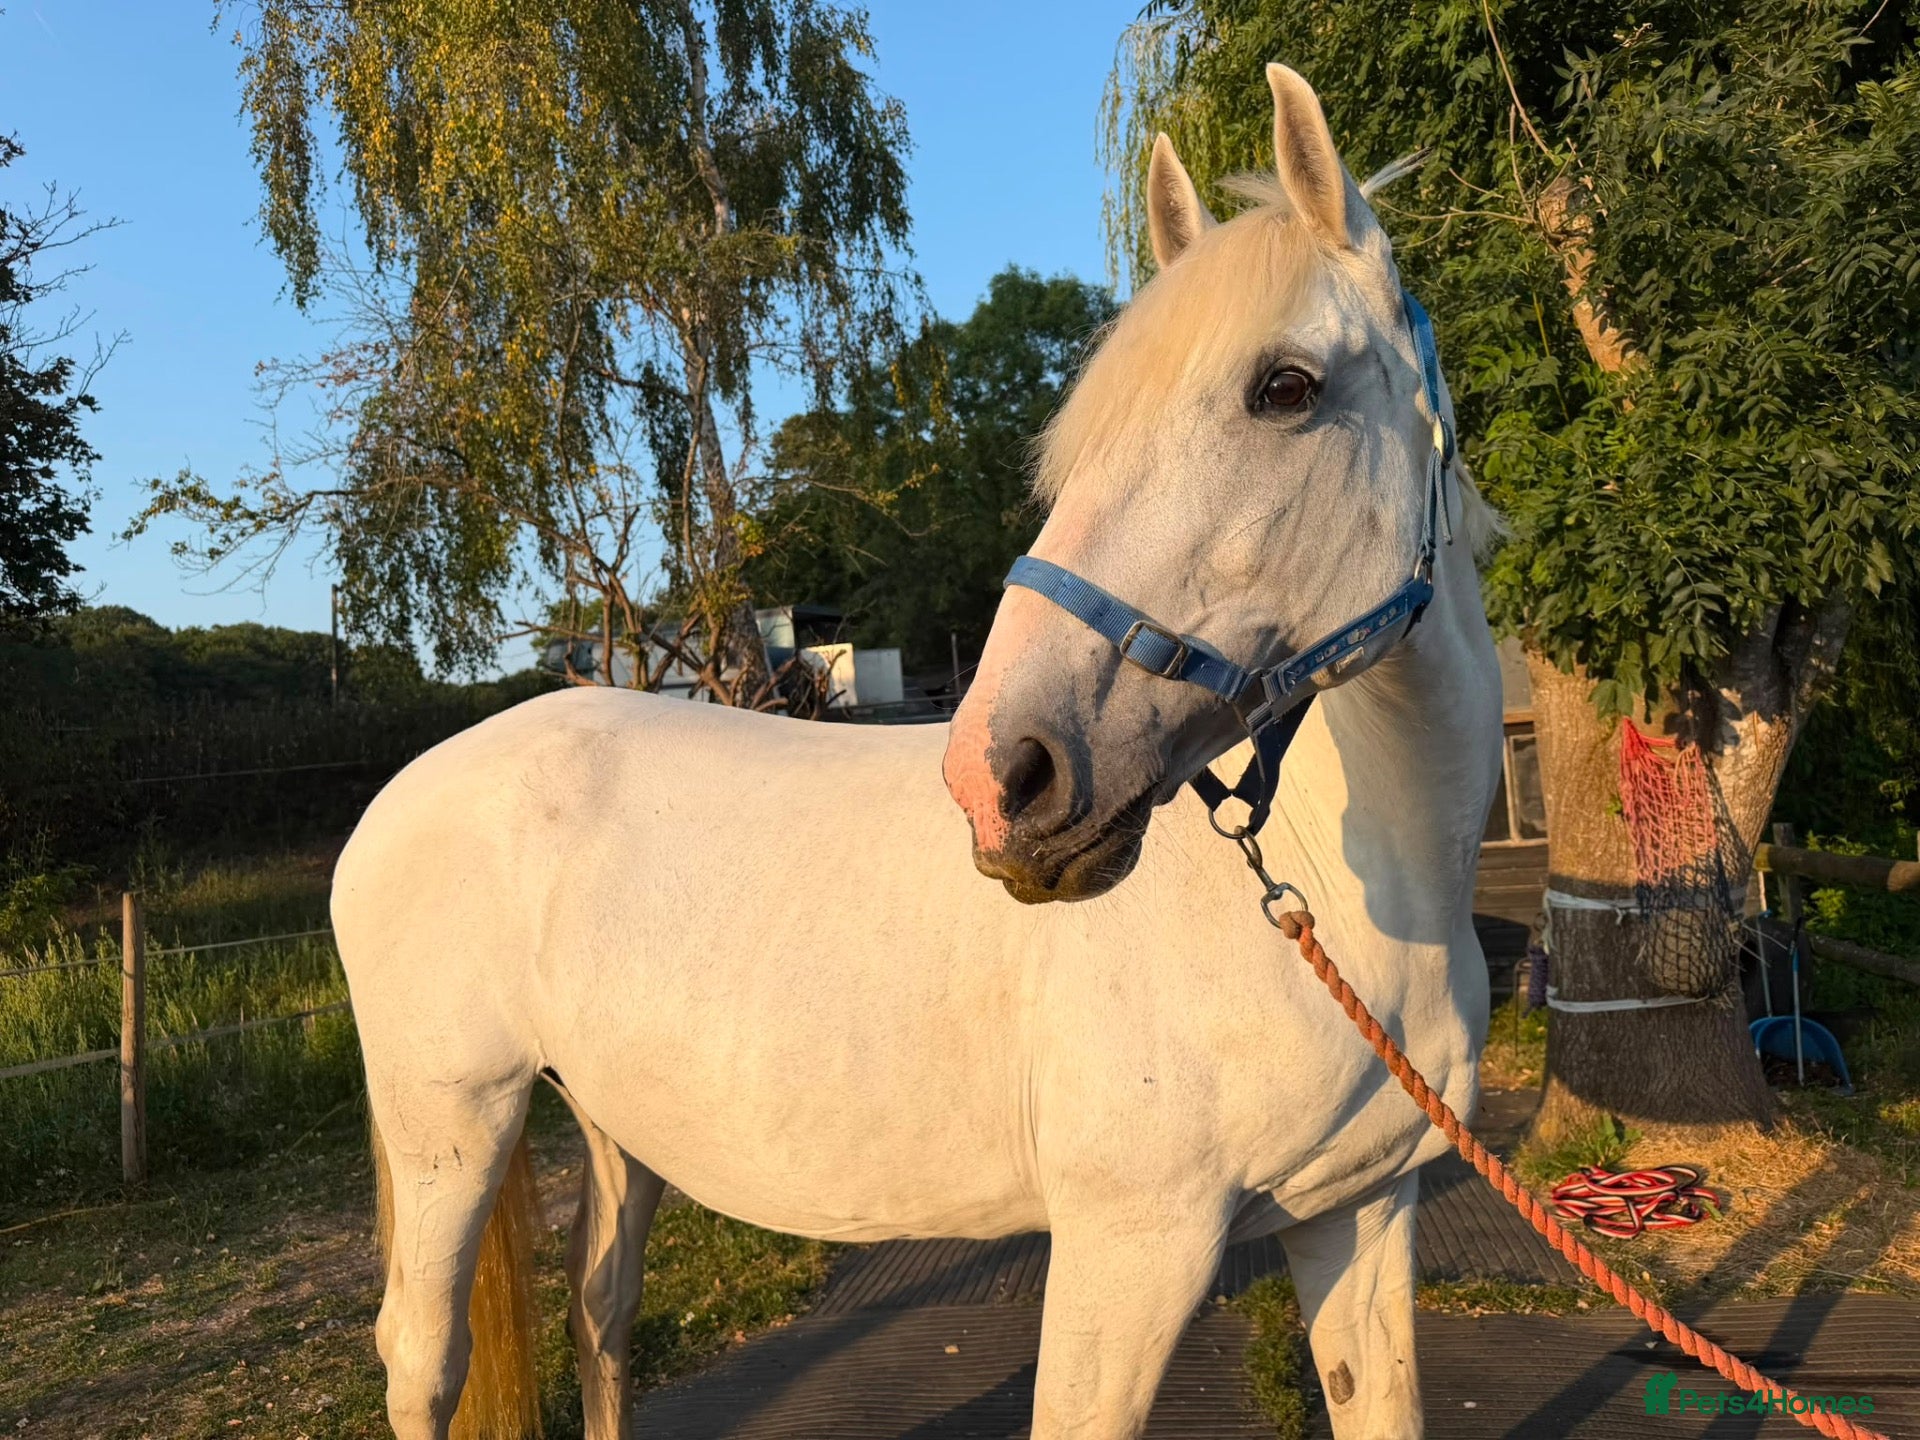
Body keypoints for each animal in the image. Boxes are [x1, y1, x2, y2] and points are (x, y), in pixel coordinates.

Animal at [333, 63, 1503, 1440]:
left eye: (1285, 388)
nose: (1004, 777)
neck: (1350, 905)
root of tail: (400, 795)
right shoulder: (1133, 1251)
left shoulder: (1359, 1216)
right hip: (452, 1126)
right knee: (424, 1356)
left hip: (614, 1129)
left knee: (599, 1322)